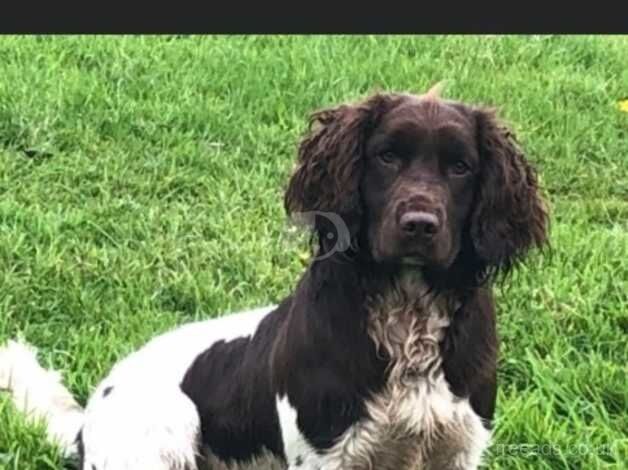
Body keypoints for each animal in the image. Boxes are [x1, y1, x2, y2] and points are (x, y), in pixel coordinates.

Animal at [0, 86, 548, 468]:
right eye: (387, 156)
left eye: (461, 167)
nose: (418, 225)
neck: (407, 318)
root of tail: (87, 421)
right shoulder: (328, 453)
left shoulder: (458, 446)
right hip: (167, 423)